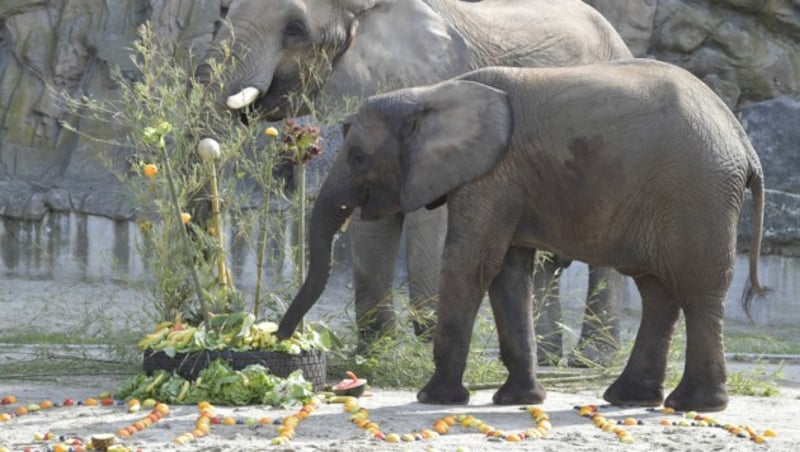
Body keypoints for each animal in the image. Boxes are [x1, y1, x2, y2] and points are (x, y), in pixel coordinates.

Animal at [194, 0, 632, 360]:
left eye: (296, 30)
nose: (278, 336)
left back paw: (591, 360)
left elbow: (429, 221)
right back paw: (548, 360)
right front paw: (377, 355)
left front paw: (423, 355)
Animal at [276, 61, 768, 412]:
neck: (430, 93)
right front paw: (517, 400)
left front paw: (433, 398)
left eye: (358, 157)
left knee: (698, 290)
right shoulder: (503, 180)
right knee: (658, 292)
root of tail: (744, 143)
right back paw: (629, 398)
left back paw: (693, 405)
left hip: (697, 193)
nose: (283, 343)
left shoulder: (493, 173)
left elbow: (471, 264)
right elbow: (508, 275)